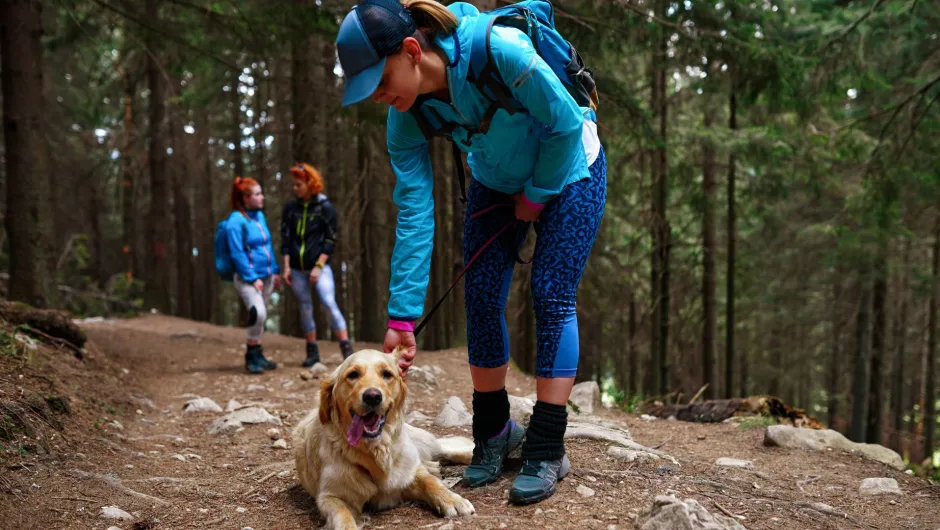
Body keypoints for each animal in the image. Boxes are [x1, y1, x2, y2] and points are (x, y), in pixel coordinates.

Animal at [292, 348, 474, 524]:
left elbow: (431, 482)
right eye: (353, 374)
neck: (375, 450)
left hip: (421, 442)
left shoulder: (407, 474)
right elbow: (343, 517)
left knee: (446, 449)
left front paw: (452, 500)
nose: (372, 396)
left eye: (387, 374)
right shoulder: (329, 497)